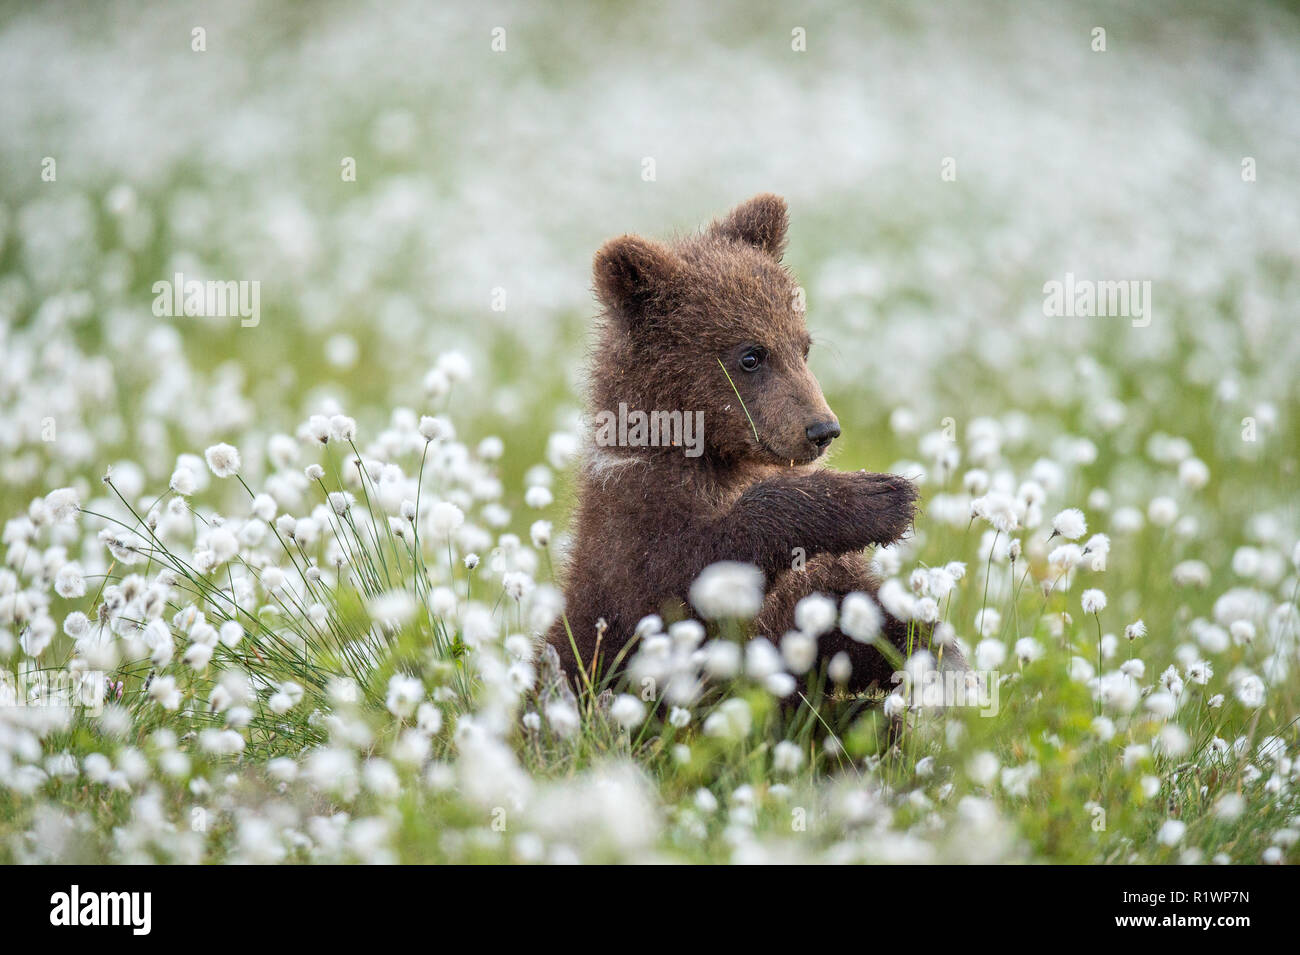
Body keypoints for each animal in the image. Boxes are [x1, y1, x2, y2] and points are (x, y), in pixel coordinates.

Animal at [547, 193, 930, 694]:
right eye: (751, 355)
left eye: (803, 347)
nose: (822, 429)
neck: (716, 455)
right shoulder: (633, 520)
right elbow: (686, 578)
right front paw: (878, 498)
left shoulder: (815, 587)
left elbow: (858, 614)